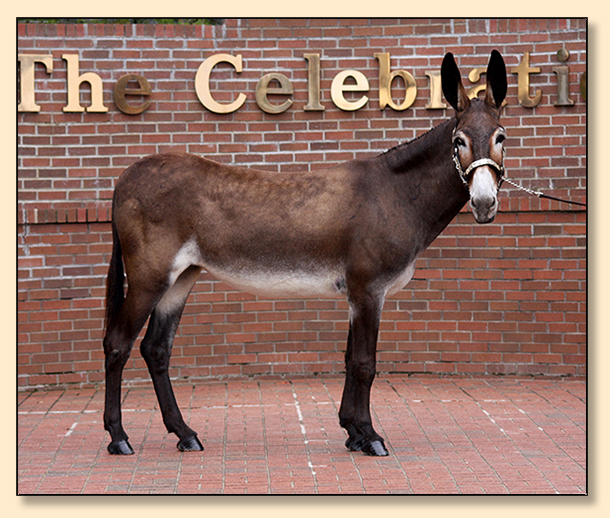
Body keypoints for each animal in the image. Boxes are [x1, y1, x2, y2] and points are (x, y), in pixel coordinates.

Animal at [102, 51, 508, 457]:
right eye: (459, 141)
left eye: (501, 137)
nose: (484, 204)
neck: (396, 194)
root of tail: (124, 176)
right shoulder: (369, 290)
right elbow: (365, 363)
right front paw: (371, 436)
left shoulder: (355, 294)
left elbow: (349, 359)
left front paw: (353, 432)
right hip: (149, 277)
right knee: (117, 344)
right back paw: (119, 437)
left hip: (180, 278)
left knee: (156, 349)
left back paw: (184, 433)